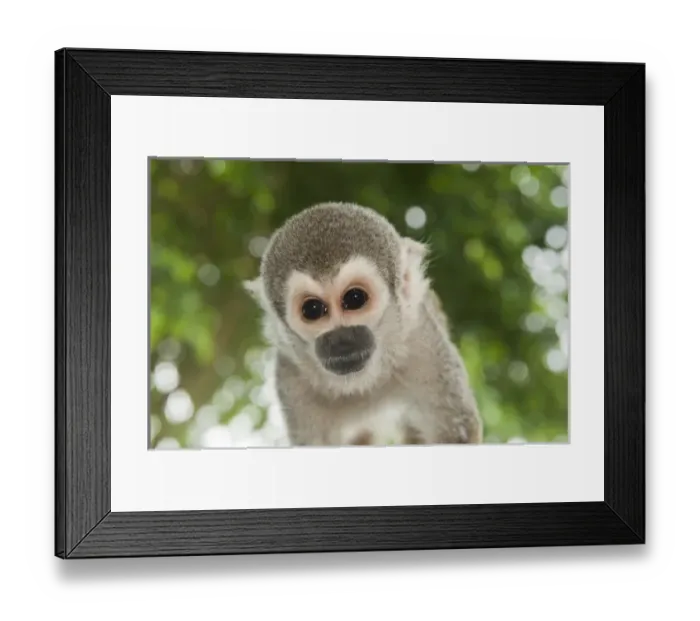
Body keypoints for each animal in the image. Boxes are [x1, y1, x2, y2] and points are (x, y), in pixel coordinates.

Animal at [243, 202, 483, 447]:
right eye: (312, 309)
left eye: (355, 298)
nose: (340, 339)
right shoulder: (292, 379)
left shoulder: (424, 344)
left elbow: (456, 433)